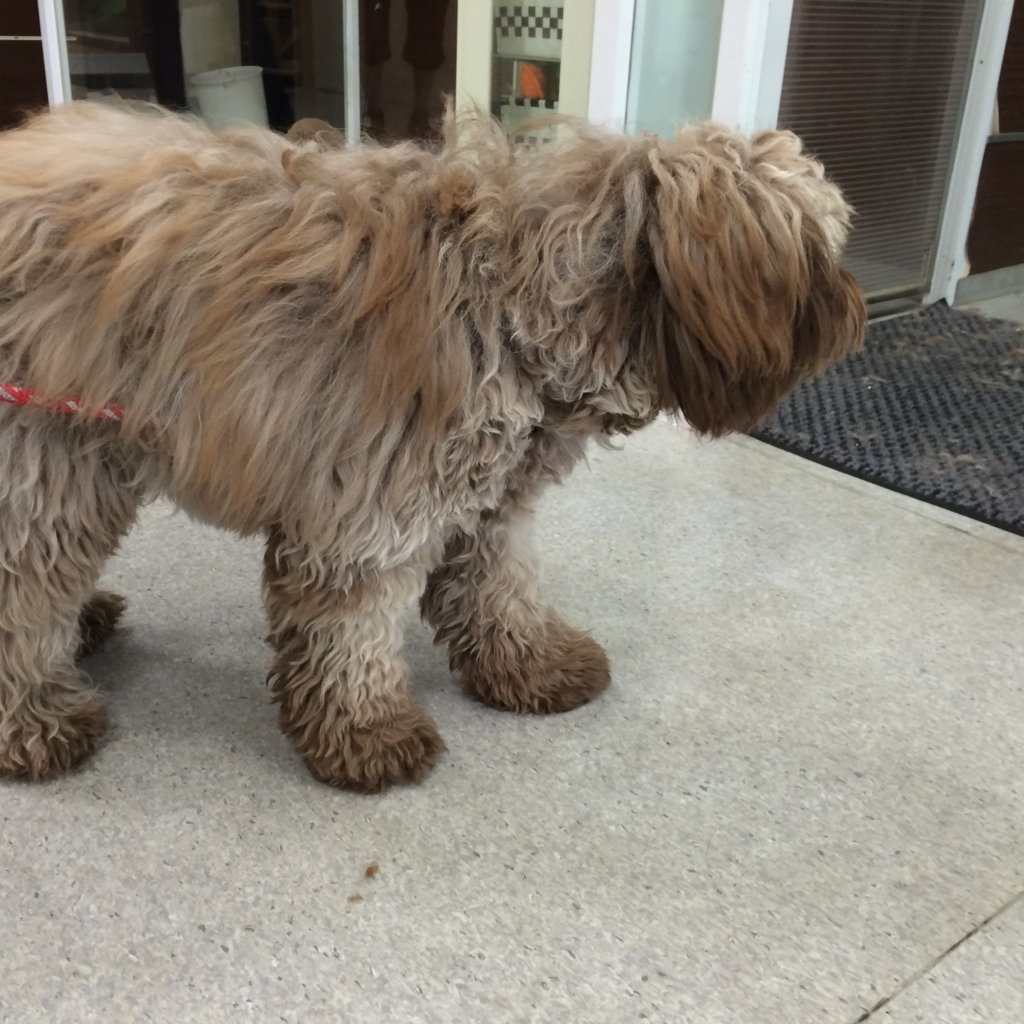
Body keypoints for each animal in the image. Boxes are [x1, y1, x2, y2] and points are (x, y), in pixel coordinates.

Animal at [0, 101, 868, 790]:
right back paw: (36, 723)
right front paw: (366, 730)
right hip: (47, 456)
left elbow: (498, 588)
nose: (859, 317)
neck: (518, 301)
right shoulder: (367, 510)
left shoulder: (489, 503)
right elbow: (351, 629)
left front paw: (530, 664)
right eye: (827, 252)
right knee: (24, 588)